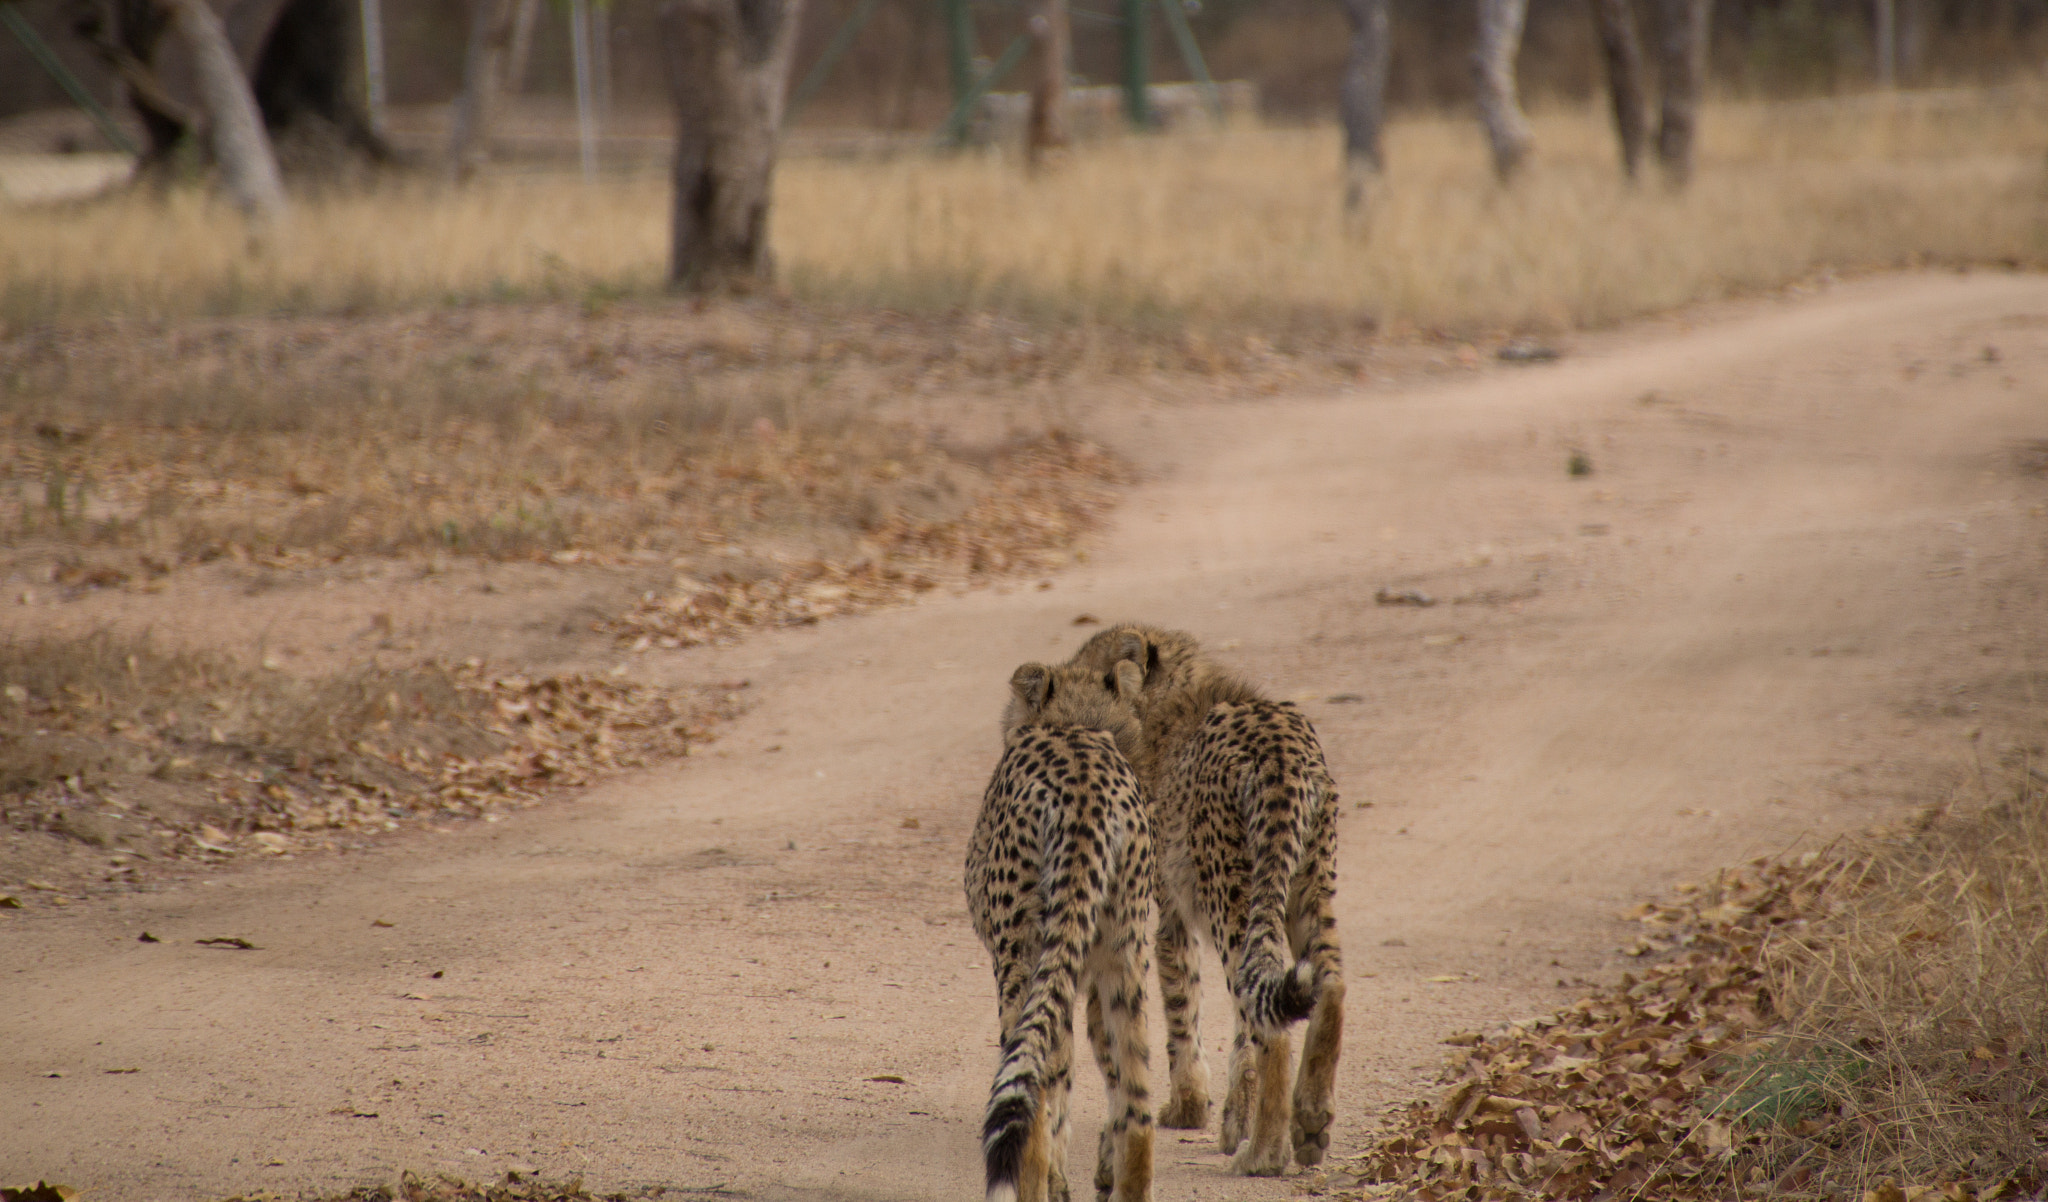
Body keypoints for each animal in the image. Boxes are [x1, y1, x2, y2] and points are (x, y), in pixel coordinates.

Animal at [962, 659, 1155, 1202]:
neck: (1078, 724)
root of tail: (1087, 793)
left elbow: (1053, 1081)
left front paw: (1057, 1182)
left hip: (1021, 956)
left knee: (1030, 1094)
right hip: (1124, 956)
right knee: (1137, 1096)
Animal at [1064, 626, 1351, 1179]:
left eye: (1095, 673)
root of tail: (1282, 752)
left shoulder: (1169, 913)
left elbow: (1182, 1005)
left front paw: (1188, 1108)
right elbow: (1238, 1028)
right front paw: (1232, 1115)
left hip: (1230, 893)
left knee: (1273, 1026)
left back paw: (1264, 1154)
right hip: (1308, 883)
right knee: (1328, 978)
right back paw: (1309, 1119)